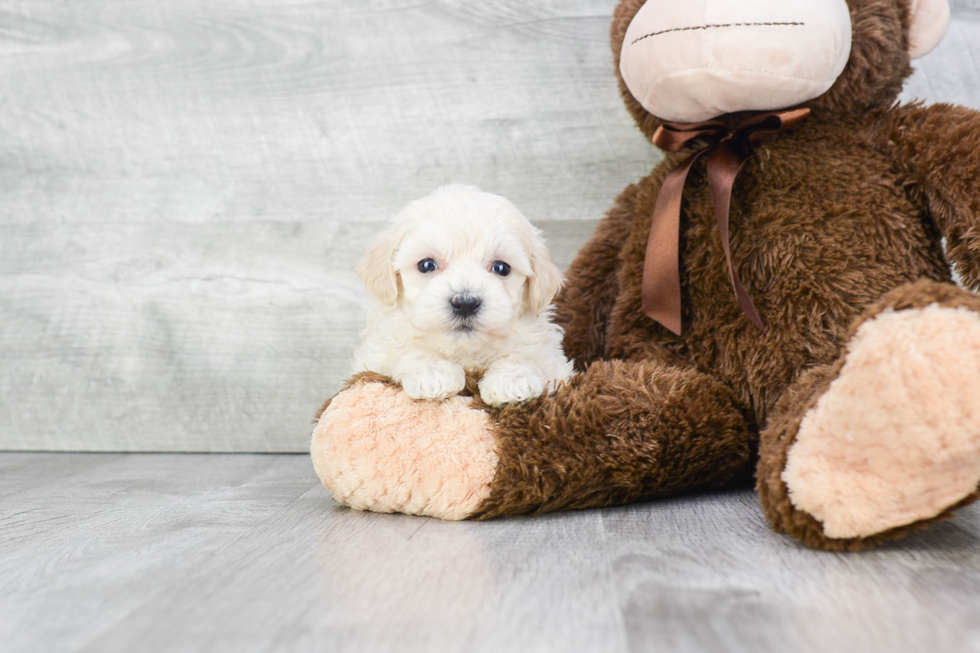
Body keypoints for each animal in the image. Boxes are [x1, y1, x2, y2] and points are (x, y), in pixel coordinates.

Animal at [352, 185, 576, 408]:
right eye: (427, 265)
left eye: (501, 268)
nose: (466, 303)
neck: (464, 352)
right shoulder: (375, 355)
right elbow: (403, 349)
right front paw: (432, 372)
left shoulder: (552, 361)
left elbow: (529, 355)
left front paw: (511, 380)